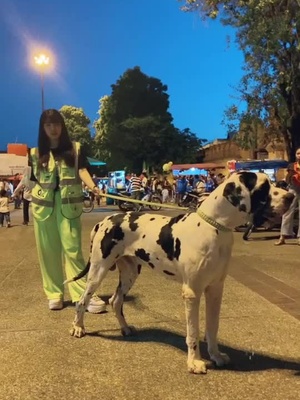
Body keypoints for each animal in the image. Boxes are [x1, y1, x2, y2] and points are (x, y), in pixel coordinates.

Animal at [67, 172, 292, 376]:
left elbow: (213, 327)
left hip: (130, 272)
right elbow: (193, 331)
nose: (291, 196)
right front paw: (195, 362)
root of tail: (104, 220)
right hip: (98, 270)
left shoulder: (215, 289)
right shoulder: (192, 292)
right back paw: (78, 327)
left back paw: (125, 328)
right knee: (82, 300)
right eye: (263, 187)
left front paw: (216, 355)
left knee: (115, 300)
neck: (215, 227)